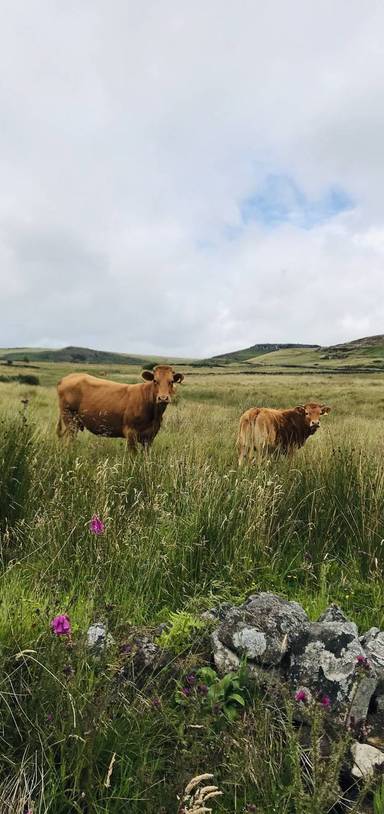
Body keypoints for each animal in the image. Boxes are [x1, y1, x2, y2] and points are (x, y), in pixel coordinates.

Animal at [55, 364, 184, 450]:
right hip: (69, 418)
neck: (154, 414)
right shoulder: (131, 432)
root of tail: (66, 378)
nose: (163, 398)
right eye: (155, 380)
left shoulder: (150, 436)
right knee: (69, 440)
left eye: (171, 381)